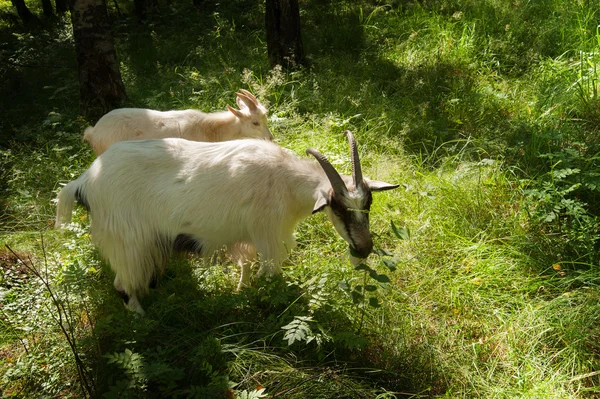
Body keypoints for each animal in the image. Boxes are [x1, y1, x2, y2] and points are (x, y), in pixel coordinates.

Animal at [56, 131, 398, 316]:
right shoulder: (268, 235)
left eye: (368, 204)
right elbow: (268, 275)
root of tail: (83, 182)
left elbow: (245, 267)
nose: (364, 249)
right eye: (337, 208)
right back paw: (142, 315)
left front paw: (240, 291)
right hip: (127, 241)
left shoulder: (246, 239)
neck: (283, 181)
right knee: (122, 284)